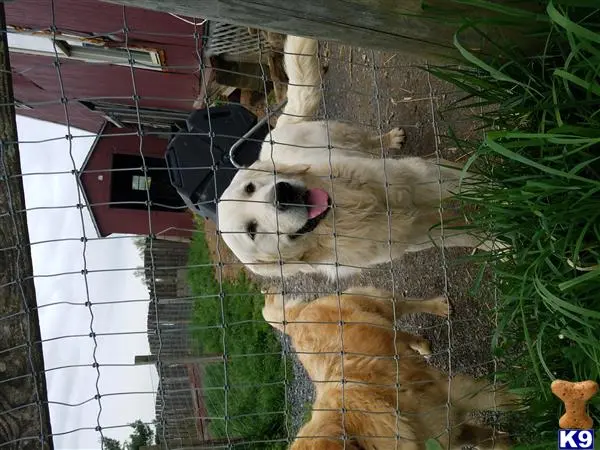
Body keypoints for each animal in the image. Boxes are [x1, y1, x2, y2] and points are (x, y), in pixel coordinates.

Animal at [216, 36, 496, 282]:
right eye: (252, 230)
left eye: (250, 188)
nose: (282, 193)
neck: (349, 209)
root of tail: (274, 135)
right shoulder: (415, 233)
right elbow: (465, 234)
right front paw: (498, 243)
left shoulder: (419, 177)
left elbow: (468, 184)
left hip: (344, 134)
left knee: (368, 142)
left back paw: (390, 139)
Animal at [262, 288, 520, 450]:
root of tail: (293, 323)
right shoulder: (447, 433)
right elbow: (486, 439)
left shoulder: (452, 392)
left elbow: (500, 399)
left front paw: (526, 396)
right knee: (401, 335)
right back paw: (420, 346)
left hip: (377, 303)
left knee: (405, 304)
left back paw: (438, 307)